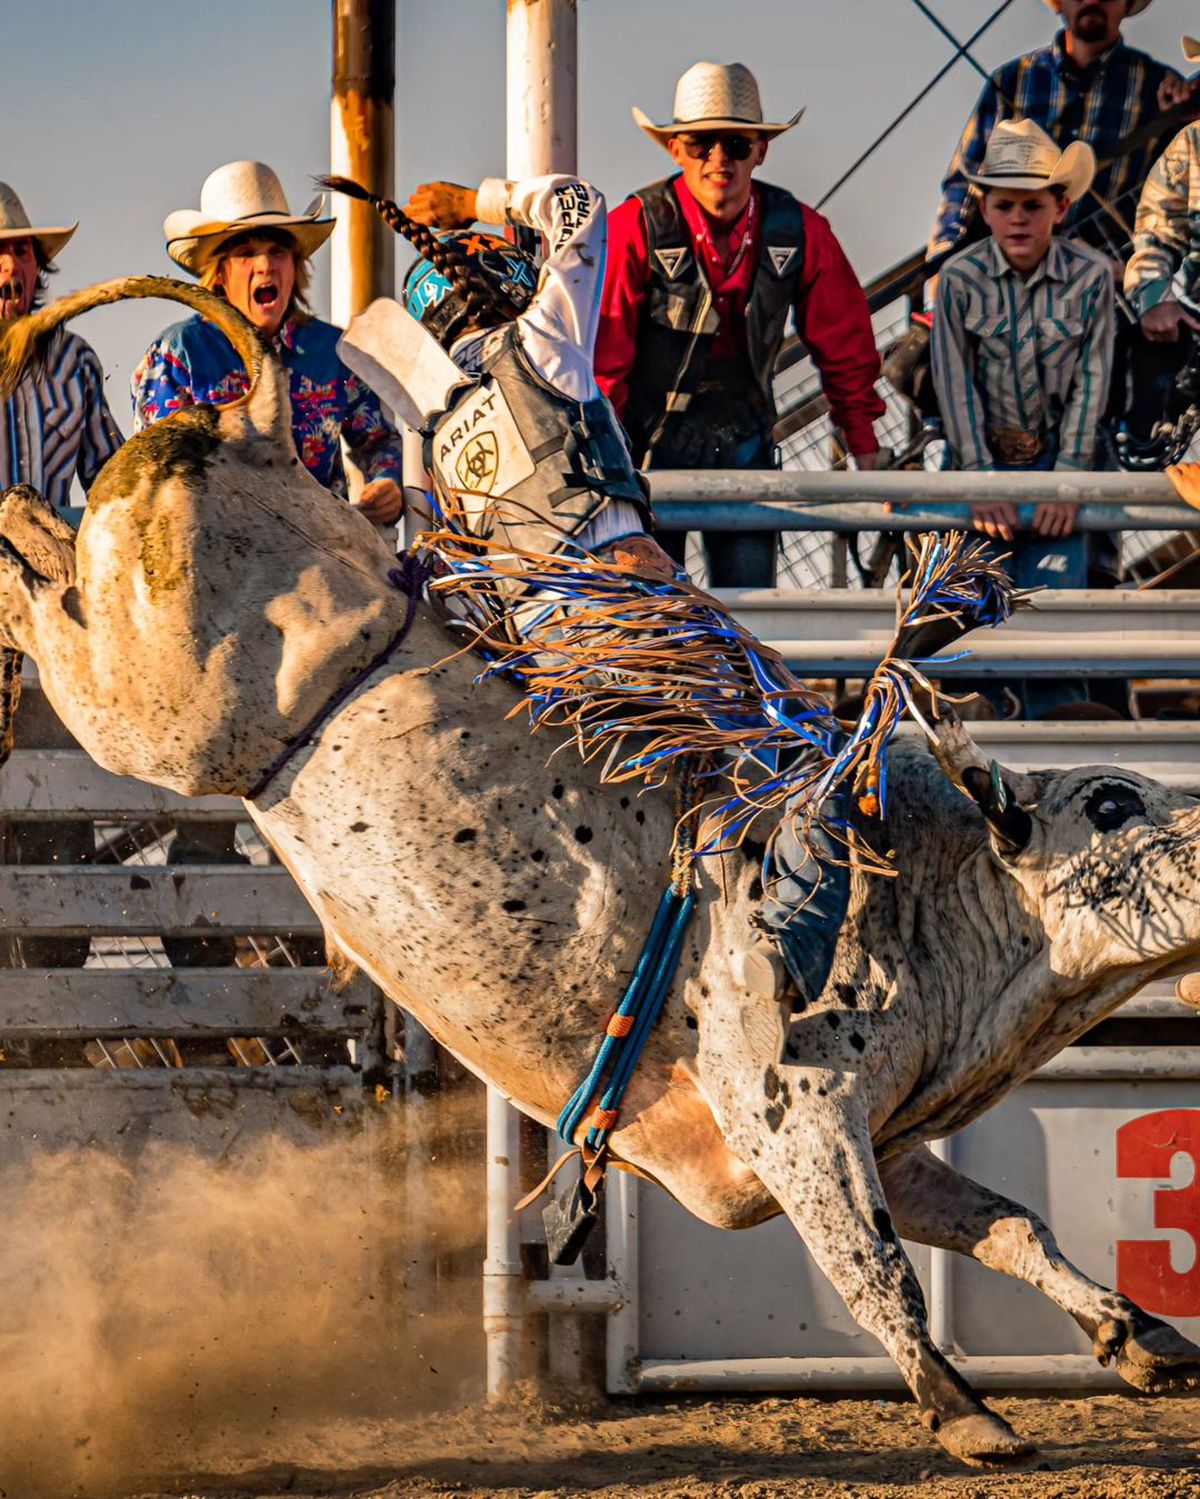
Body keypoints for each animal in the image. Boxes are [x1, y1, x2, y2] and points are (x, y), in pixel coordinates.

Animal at [2, 275, 1198, 1469]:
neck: (919, 883)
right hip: (164, 705)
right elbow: (877, 1270)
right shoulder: (797, 1110)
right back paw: (17, 539)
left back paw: (24, 521)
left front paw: (1138, 1334)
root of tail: (248, 432)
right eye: (1110, 800)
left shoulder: (892, 1139)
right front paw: (969, 1412)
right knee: (61, 617)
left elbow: (1008, 1225)